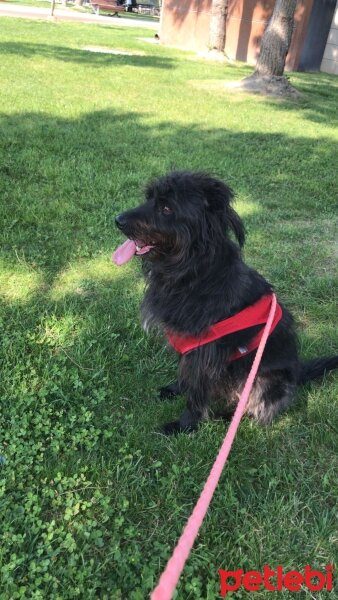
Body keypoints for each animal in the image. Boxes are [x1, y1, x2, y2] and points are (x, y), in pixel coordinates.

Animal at [115, 171, 336, 434]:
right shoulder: (187, 344)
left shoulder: (206, 350)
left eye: (166, 208)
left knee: (252, 409)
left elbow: (196, 392)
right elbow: (185, 373)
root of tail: (299, 372)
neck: (192, 272)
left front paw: (184, 426)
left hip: (264, 380)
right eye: (149, 198)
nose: (117, 220)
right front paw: (175, 389)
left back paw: (224, 417)